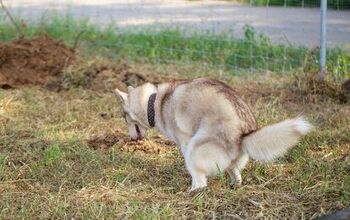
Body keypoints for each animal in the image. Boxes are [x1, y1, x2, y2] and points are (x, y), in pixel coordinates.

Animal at [116, 78, 314, 192]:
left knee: (201, 181)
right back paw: (235, 185)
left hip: (195, 148)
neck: (155, 101)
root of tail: (244, 134)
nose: (131, 139)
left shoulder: (185, 141)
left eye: (124, 117)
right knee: (234, 170)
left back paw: (193, 191)